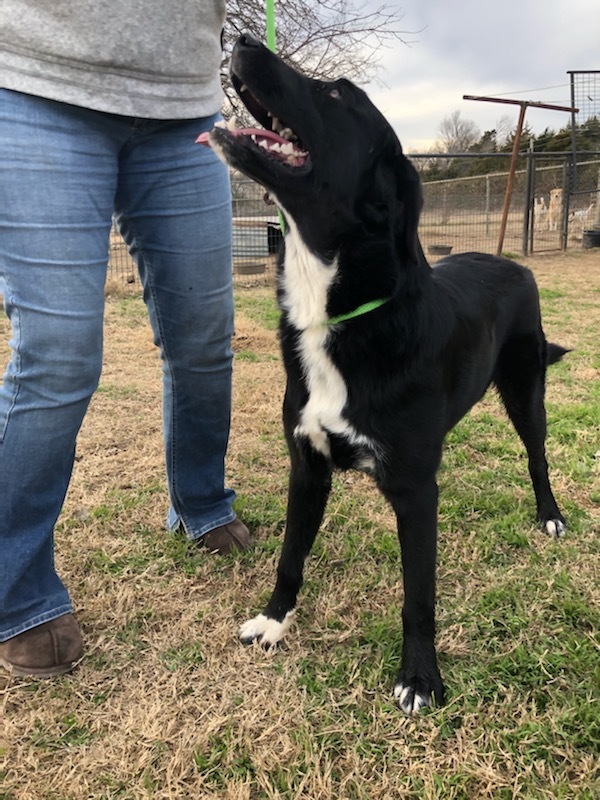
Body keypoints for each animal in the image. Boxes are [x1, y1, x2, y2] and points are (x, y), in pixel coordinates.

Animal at [199, 36, 564, 712]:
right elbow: (290, 556)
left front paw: (420, 677)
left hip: (526, 392)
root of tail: (515, 262)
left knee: (537, 457)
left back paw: (549, 514)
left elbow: (418, 595)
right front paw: (274, 621)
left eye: (338, 94)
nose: (243, 41)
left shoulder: (416, 491)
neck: (339, 314)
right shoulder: (307, 466)